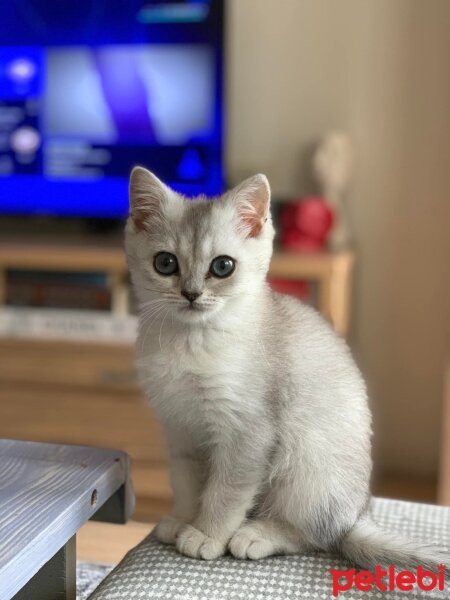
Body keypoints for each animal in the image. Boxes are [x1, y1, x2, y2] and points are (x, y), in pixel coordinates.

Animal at [124, 166, 450, 568]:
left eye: (222, 266)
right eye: (165, 263)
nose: (191, 294)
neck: (191, 342)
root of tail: (356, 516)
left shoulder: (247, 432)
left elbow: (225, 492)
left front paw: (206, 534)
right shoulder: (181, 430)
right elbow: (186, 484)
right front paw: (183, 519)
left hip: (305, 462)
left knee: (318, 535)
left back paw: (255, 535)